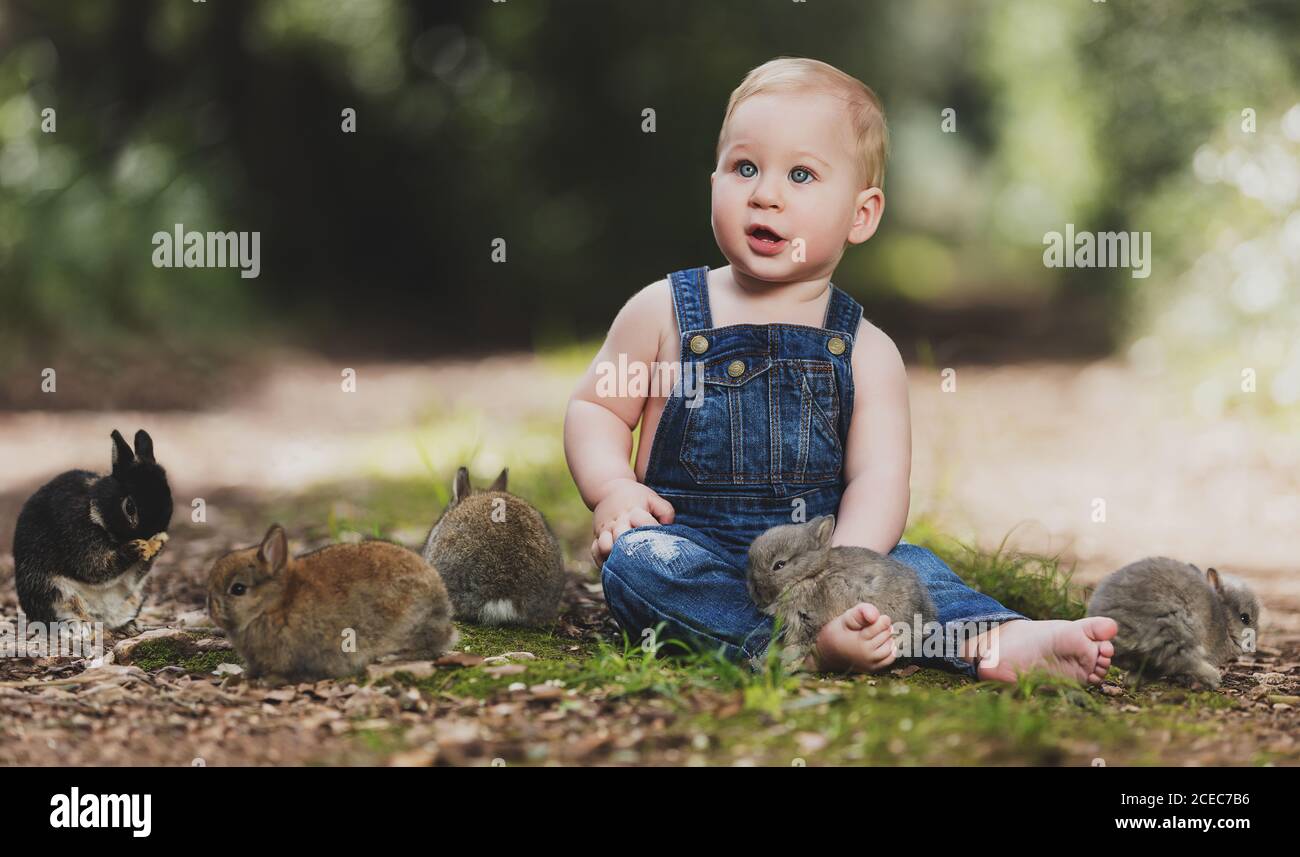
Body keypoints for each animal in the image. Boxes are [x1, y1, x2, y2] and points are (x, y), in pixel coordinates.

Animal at [12, 431, 174, 634]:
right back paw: (81, 627)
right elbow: (94, 568)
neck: (95, 508)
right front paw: (133, 549)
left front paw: (157, 546)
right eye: (129, 508)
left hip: (135, 596)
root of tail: (100, 615)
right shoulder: (78, 538)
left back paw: (130, 625)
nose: (148, 536)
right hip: (52, 591)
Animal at [748, 517, 941, 663]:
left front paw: (785, 662)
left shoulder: (807, 620)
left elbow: (800, 644)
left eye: (779, 565)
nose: (755, 594)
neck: (808, 576)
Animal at [1086, 556, 1258, 691]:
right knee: (1183, 660)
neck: (1224, 618)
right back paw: (1212, 679)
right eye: (1245, 618)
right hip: (1174, 630)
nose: (1251, 646)